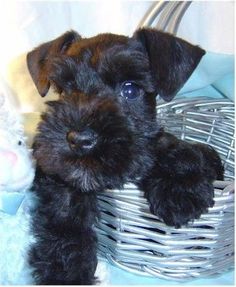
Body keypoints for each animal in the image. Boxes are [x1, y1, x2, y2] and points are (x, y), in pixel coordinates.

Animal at [27, 28, 223, 286]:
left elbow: (167, 145)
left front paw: (180, 189)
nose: (79, 139)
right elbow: (65, 211)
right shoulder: (58, 175)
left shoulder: (152, 143)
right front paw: (65, 270)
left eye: (130, 90)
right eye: (66, 89)